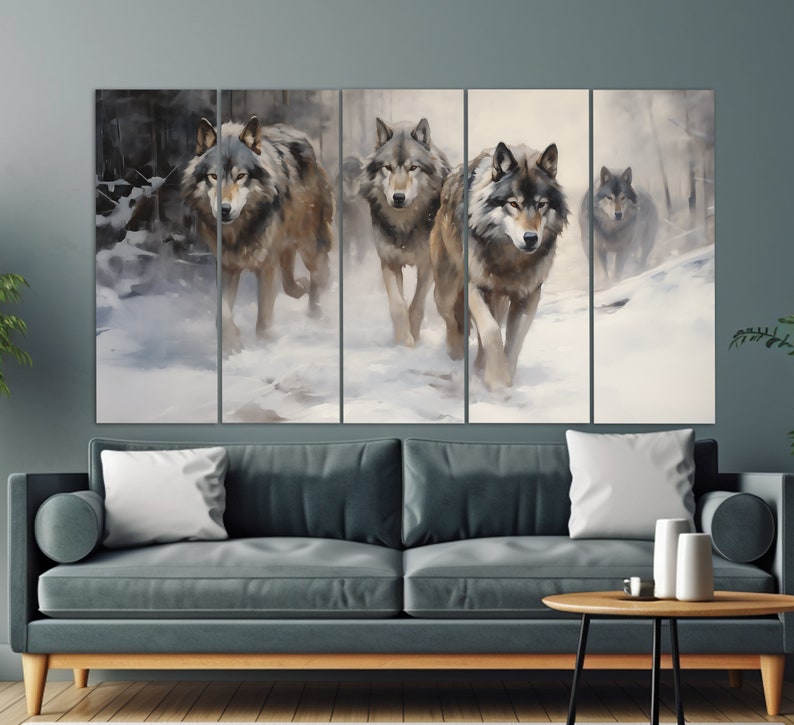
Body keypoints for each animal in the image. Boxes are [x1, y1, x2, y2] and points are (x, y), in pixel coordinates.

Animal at [182, 115, 334, 353]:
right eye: (213, 176)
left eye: (241, 176)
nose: (224, 209)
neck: (239, 231)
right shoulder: (227, 267)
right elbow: (222, 314)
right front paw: (232, 344)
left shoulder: (267, 266)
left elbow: (264, 314)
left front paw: (264, 344)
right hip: (285, 249)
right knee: (290, 281)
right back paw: (301, 287)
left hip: (309, 246)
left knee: (320, 274)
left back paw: (315, 311)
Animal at [360, 117, 450, 347]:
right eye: (388, 168)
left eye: (413, 168)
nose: (398, 197)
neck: (404, 226)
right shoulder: (389, 262)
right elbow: (398, 306)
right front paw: (403, 340)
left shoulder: (427, 266)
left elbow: (416, 305)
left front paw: (414, 336)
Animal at [430, 142, 568, 392]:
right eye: (513, 204)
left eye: (541, 205)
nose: (531, 238)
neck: (510, 261)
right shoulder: (476, 287)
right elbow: (492, 331)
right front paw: (498, 381)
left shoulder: (528, 295)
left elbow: (514, 340)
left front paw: (506, 376)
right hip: (446, 292)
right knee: (451, 318)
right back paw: (457, 352)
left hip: (498, 301)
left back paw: (478, 368)